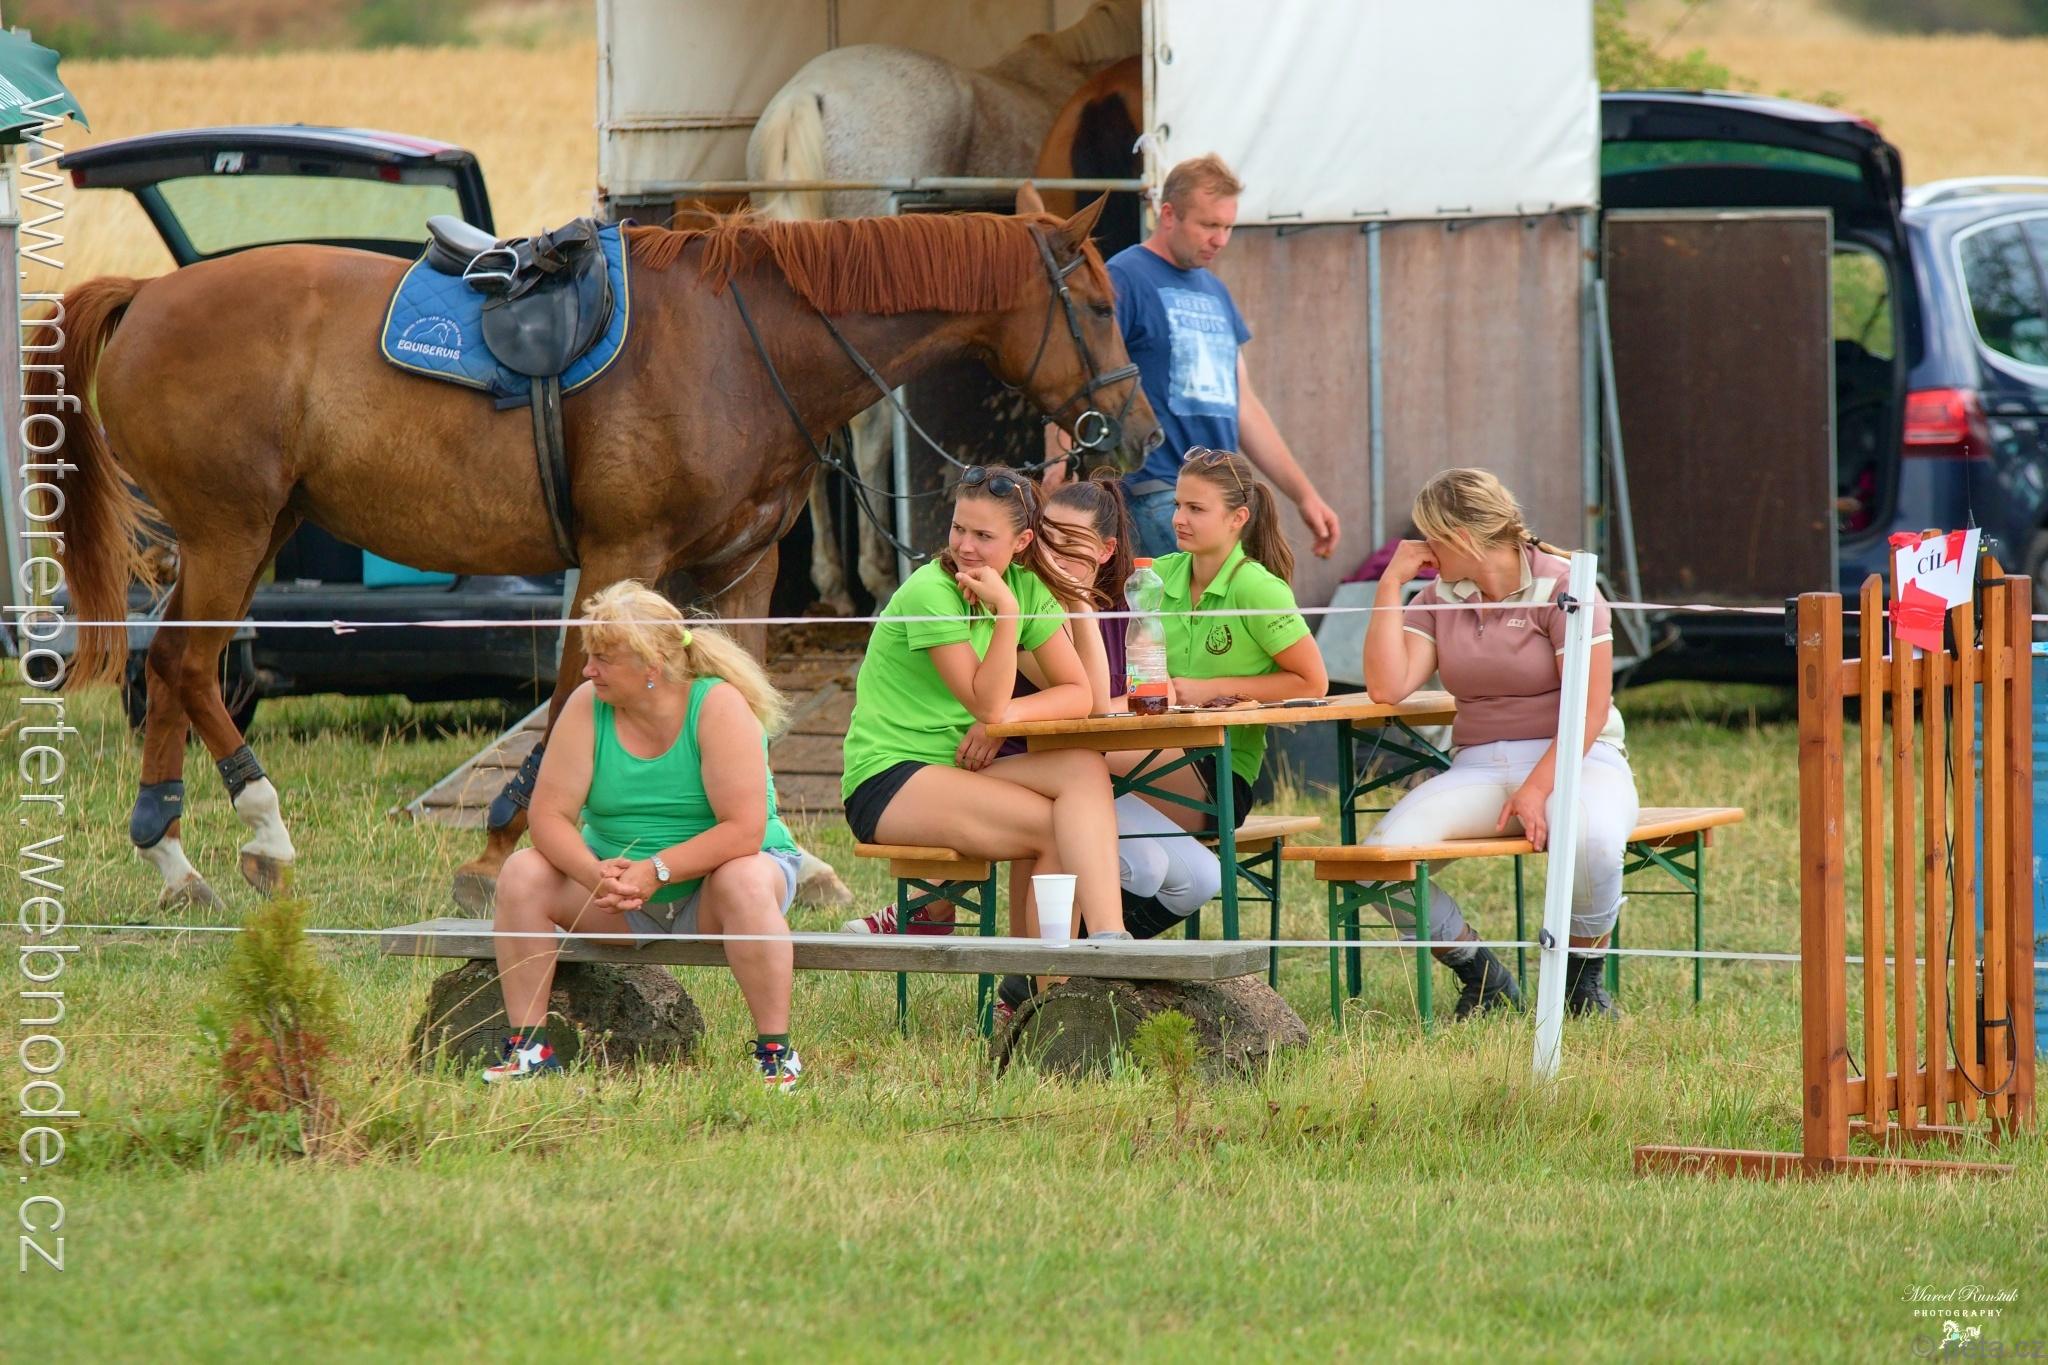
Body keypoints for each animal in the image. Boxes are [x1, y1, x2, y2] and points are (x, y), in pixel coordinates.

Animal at [42, 195, 1159, 913]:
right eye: (1101, 306)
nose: (1139, 434)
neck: (746, 347)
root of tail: (147, 295)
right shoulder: (621, 551)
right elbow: (578, 693)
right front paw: (501, 845)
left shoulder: (741, 571)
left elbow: (747, 719)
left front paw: (792, 864)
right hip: (227, 529)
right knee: (189, 666)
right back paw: (257, 834)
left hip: (247, 532)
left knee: (171, 668)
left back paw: (172, 857)